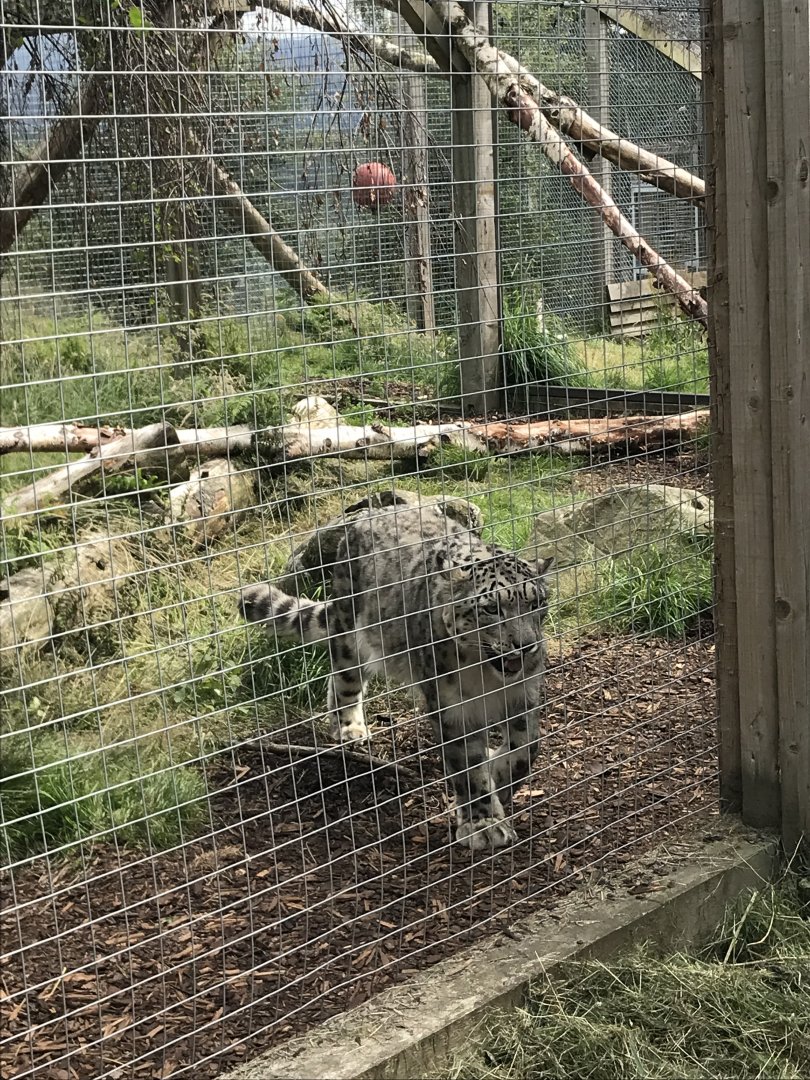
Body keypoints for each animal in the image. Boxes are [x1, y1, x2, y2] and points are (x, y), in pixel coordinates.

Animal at [239, 501, 553, 851]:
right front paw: (483, 823)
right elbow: (468, 767)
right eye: (491, 608)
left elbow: (526, 748)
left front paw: (498, 777)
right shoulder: (451, 708)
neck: (485, 675)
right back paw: (350, 728)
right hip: (351, 635)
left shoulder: (524, 695)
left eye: (537, 603)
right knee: (344, 679)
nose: (525, 646)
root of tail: (367, 514)